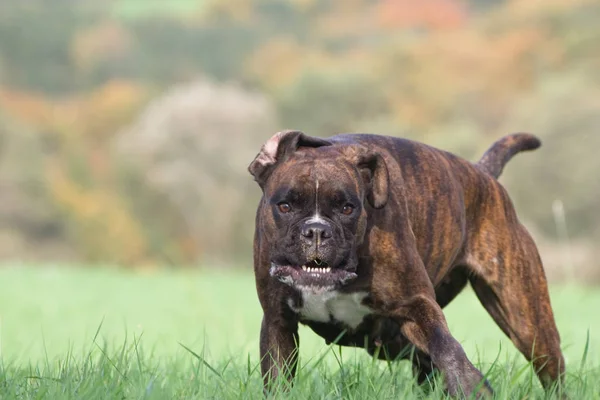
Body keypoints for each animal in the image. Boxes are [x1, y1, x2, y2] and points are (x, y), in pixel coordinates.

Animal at [246, 131, 564, 396]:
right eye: (285, 206)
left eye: (348, 208)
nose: (316, 231)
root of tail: (484, 174)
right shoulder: (278, 324)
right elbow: (277, 381)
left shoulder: (417, 306)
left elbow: (446, 345)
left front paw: (469, 385)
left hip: (530, 325)